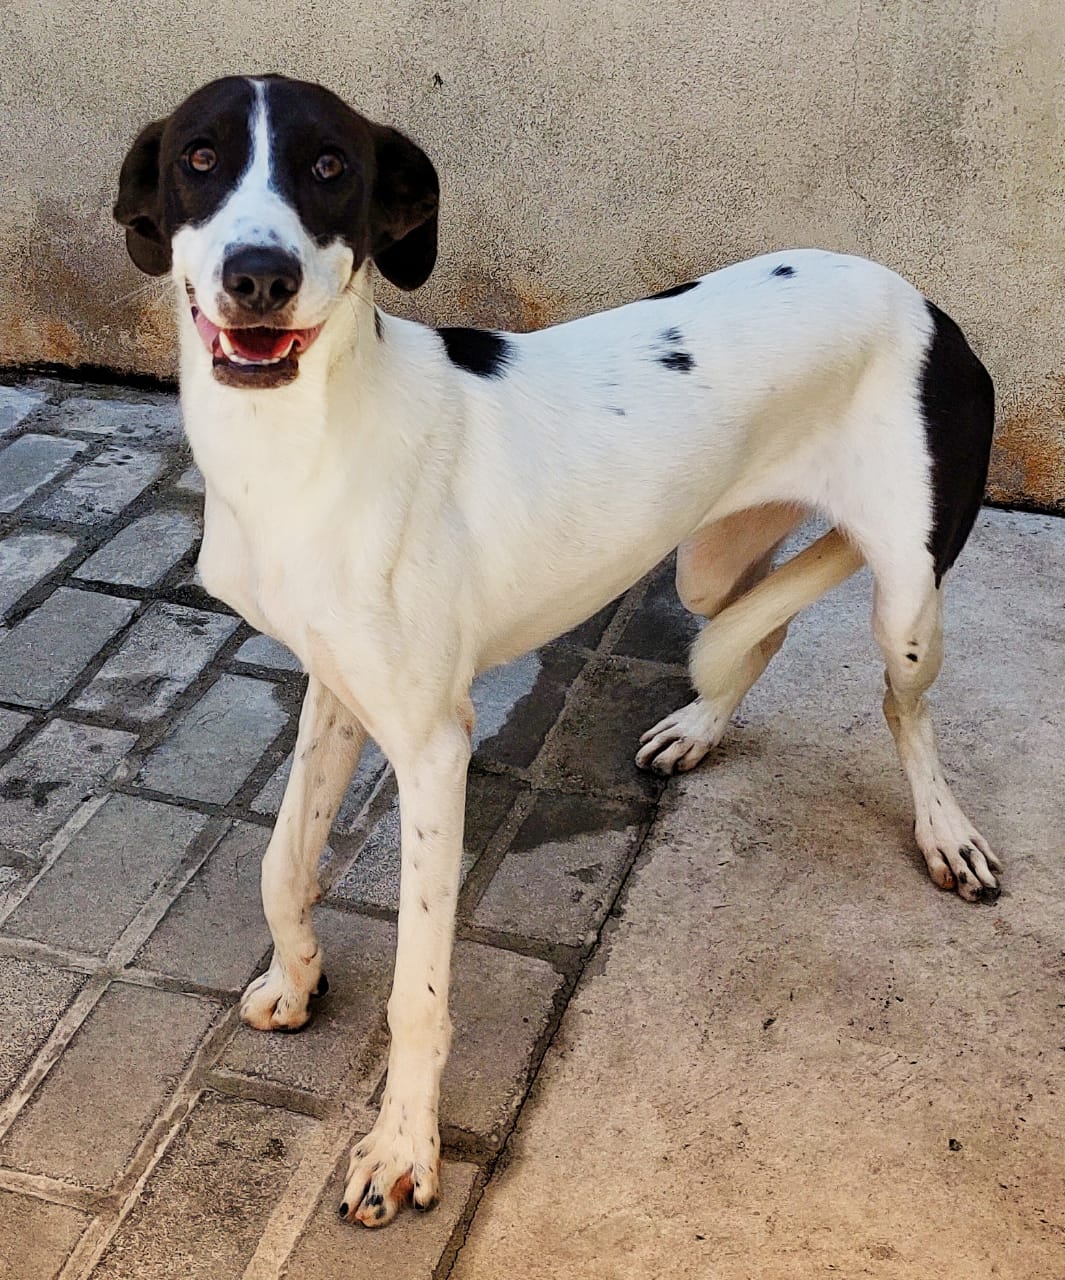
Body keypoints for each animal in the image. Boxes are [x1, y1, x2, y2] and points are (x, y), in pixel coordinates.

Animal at [114, 72, 998, 1228]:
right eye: (201, 157)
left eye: (329, 167)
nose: (257, 277)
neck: (304, 440)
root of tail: (922, 298)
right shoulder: (337, 688)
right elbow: (280, 862)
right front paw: (297, 980)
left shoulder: (433, 745)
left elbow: (418, 986)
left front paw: (402, 1145)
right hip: (708, 557)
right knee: (760, 624)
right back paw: (698, 726)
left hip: (906, 598)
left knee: (903, 701)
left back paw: (946, 832)